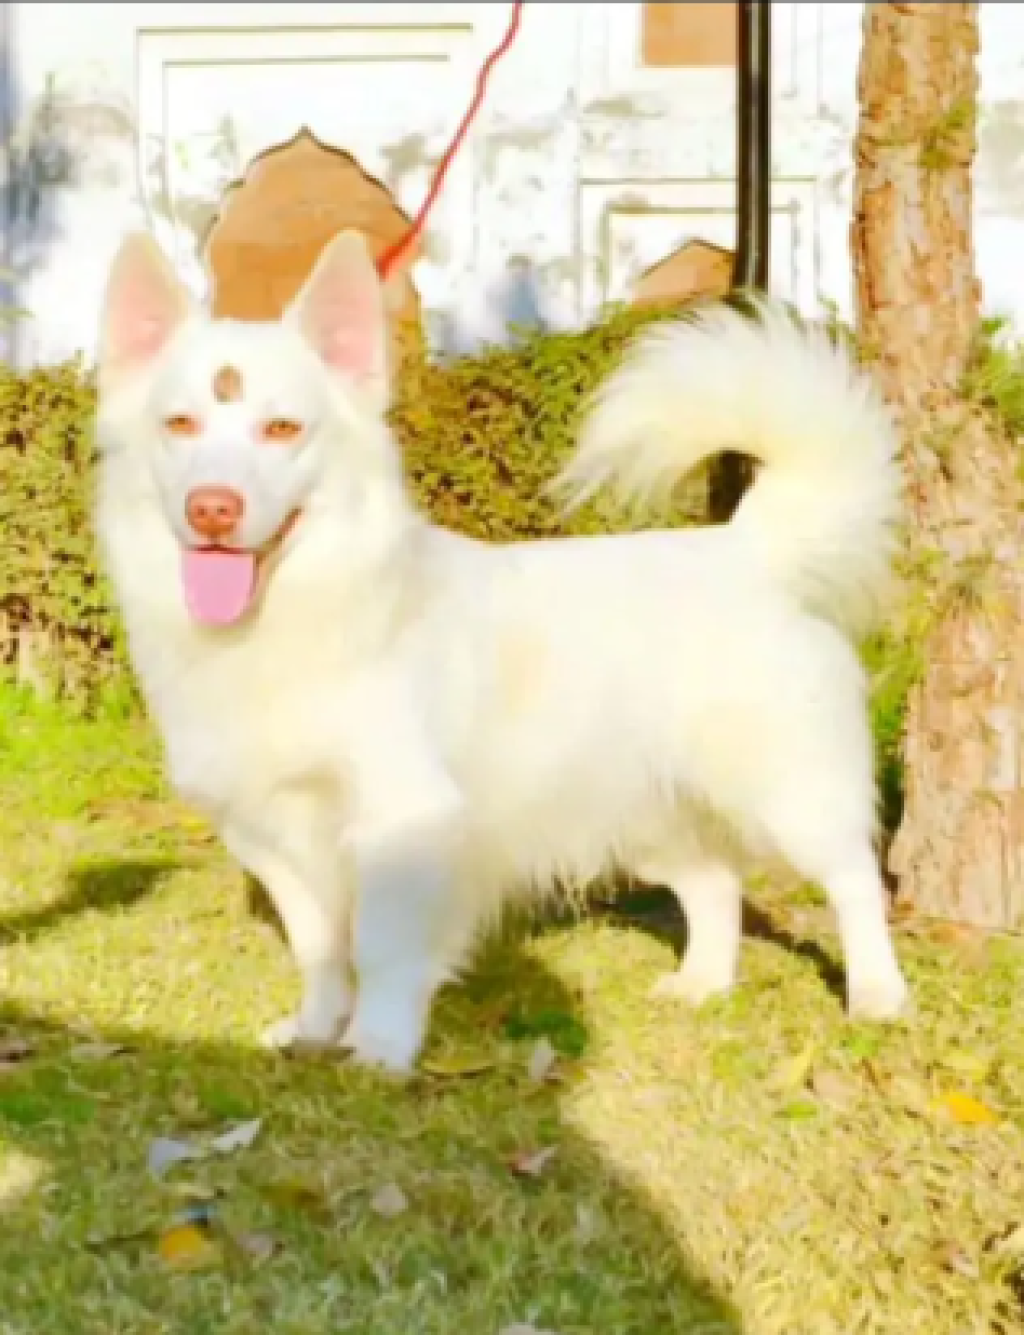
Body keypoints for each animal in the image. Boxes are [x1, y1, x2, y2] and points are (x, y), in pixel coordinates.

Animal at [93, 227, 909, 1073]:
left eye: (282, 429)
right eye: (179, 425)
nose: (212, 509)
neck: (298, 610)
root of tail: (747, 549)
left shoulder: (402, 822)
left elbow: (381, 948)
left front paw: (379, 1049)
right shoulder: (271, 837)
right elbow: (319, 949)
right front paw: (316, 1029)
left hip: (788, 793)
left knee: (852, 877)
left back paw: (878, 994)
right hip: (642, 805)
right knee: (713, 884)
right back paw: (703, 982)